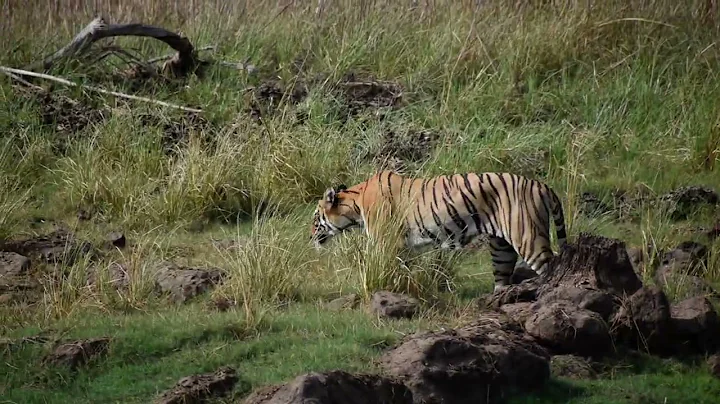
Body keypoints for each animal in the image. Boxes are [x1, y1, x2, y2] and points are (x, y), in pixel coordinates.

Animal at [310, 170, 567, 292]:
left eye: (315, 219)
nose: (310, 237)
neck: (355, 203)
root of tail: (542, 185)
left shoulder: (386, 241)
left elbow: (385, 268)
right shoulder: (402, 246)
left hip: (528, 237)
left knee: (552, 268)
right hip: (501, 247)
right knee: (503, 278)